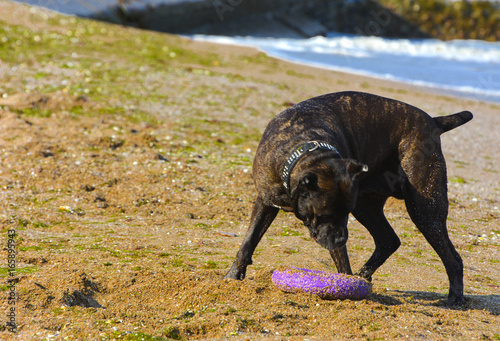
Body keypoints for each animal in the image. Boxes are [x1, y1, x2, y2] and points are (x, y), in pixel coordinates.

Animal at [225, 91, 474, 306]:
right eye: (324, 214)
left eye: (344, 215)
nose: (341, 238)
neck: (308, 151)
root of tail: (433, 121)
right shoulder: (266, 202)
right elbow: (248, 242)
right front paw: (233, 276)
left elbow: (341, 262)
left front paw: (345, 286)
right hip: (367, 206)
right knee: (388, 240)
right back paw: (364, 275)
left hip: (424, 209)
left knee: (452, 257)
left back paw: (455, 299)